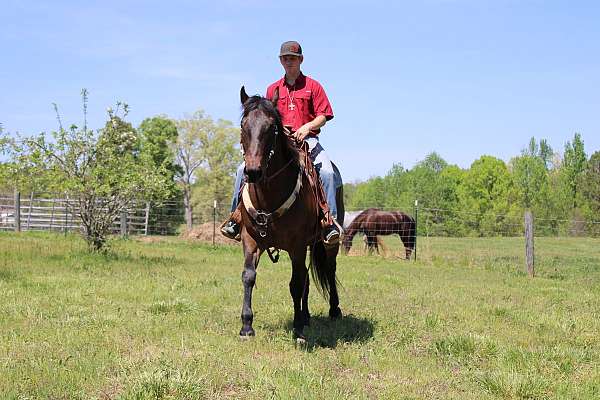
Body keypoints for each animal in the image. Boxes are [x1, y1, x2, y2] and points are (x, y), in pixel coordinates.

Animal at [238, 86, 344, 340]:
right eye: (243, 125)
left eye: (271, 127)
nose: (253, 171)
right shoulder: (250, 239)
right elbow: (248, 276)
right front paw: (246, 326)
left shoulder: (296, 244)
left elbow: (295, 284)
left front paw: (297, 329)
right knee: (306, 278)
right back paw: (305, 316)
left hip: (326, 243)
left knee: (329, 269)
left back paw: (333, 310)